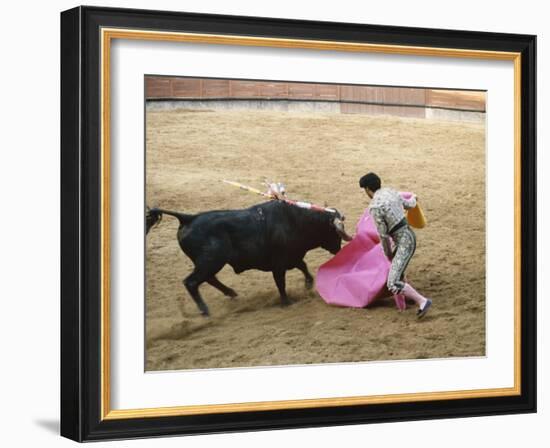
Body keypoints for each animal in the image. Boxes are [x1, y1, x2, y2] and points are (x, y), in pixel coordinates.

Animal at [147, 201, 354, 316]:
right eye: (335, 232)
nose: (339, 249)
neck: (297, 220)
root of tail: (188, 218)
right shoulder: (278, 264)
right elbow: (281, 283)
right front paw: (286, 302)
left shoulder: (292, 256)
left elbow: (303, 266)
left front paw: (308, 284)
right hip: (211, 260)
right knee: (191, 282)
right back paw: (205, 310)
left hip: (209, 262)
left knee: (208, 279)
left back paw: (231, 293)